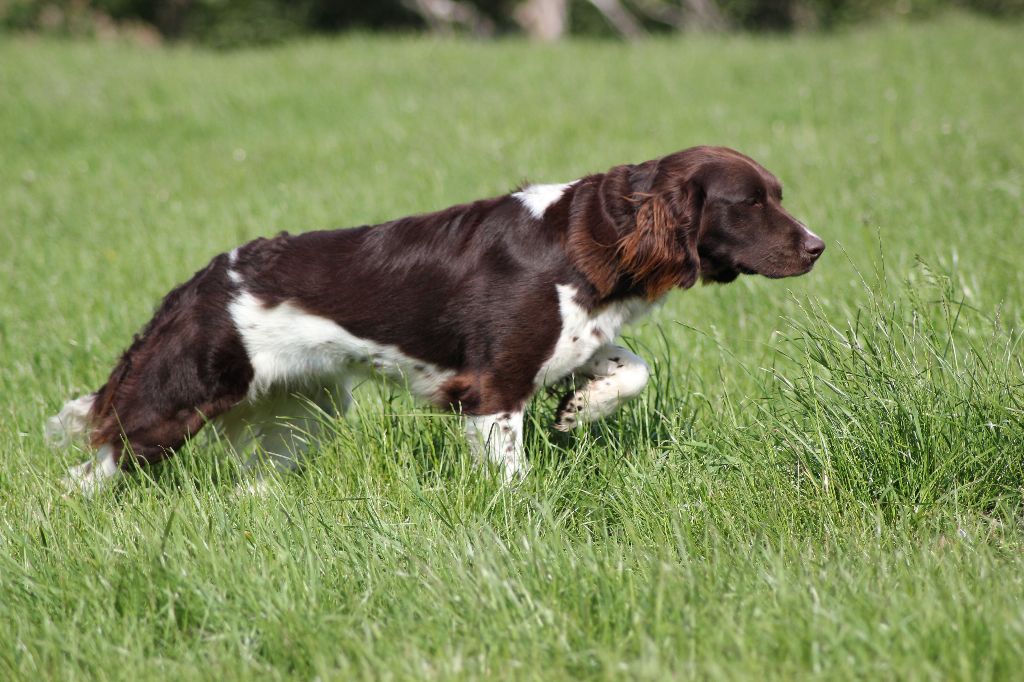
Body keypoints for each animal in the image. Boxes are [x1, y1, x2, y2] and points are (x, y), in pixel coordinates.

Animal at [44, 146, 823, 491]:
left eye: (778, 194)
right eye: (751, 202)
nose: (818, 246)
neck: (587, 241)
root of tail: (199, 281)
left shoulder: (571, 340)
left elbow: (633, 366)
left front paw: (580, 409)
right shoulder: (493, 388)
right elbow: (512, 474)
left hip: (303, 411)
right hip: (174, 405)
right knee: (91, 471)